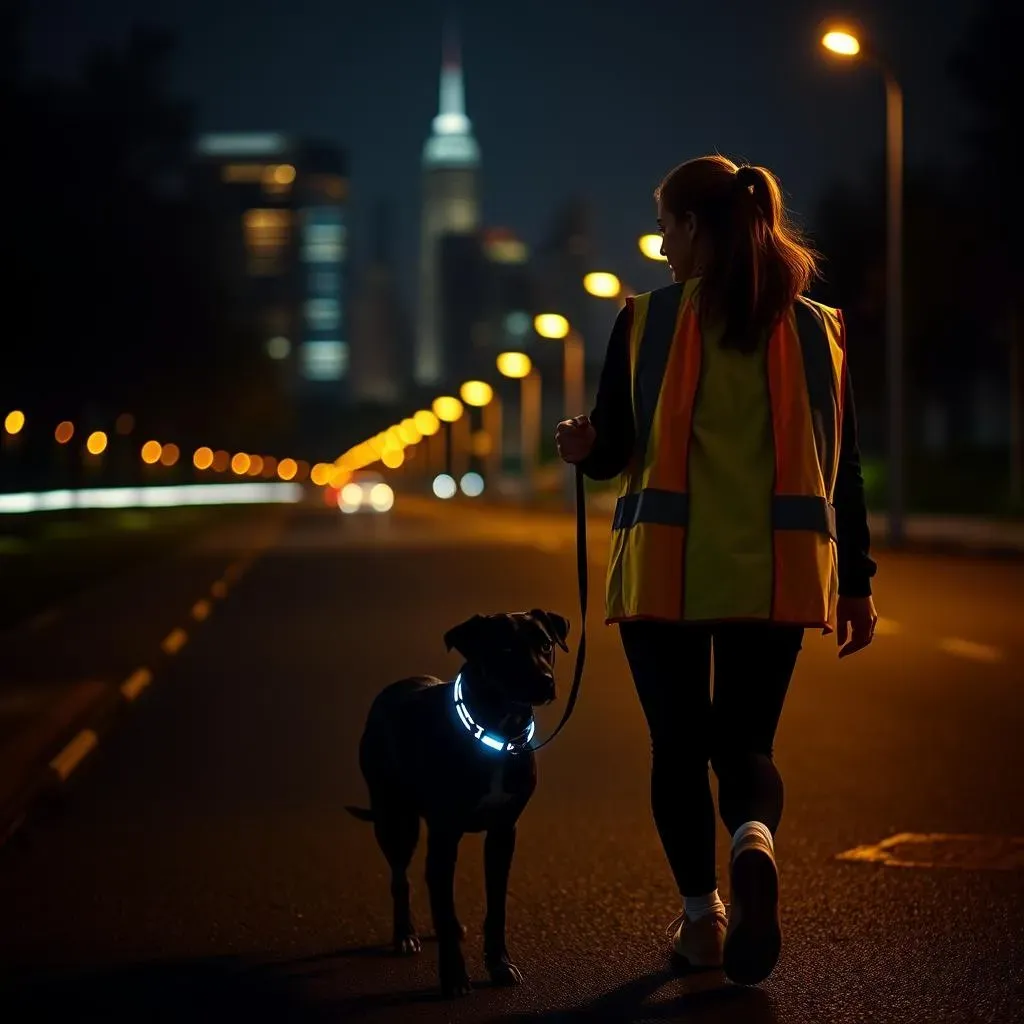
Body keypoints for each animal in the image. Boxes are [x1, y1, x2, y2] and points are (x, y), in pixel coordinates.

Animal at [344, 610, 569, 995]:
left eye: (545, 644)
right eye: (505, 648)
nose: (545, 682)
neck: (494, 731)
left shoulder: (502, 834)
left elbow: (495, 908)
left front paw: (499, 964)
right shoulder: (445, 833)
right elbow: (442, 904)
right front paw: (452, 976)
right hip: (396, 820)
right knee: (401, 878)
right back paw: (404, 935)